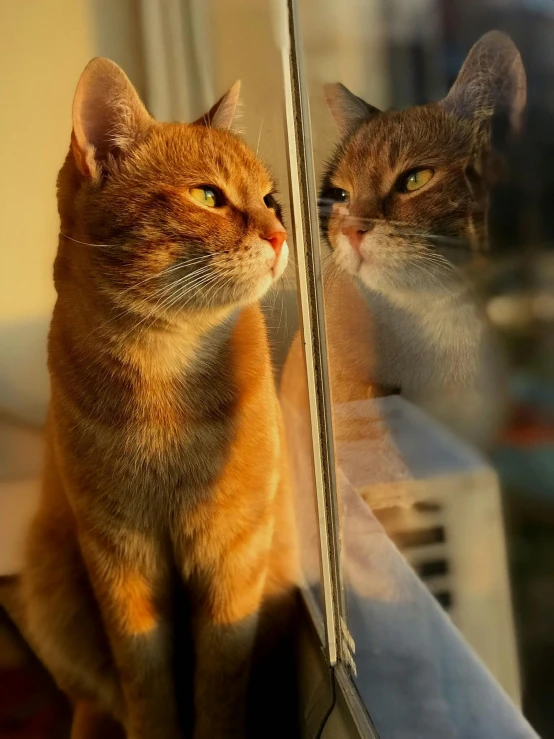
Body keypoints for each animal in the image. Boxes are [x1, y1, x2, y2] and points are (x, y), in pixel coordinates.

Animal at [19, 59, 298, 739]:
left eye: (270, 198)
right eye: (208, 196)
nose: (282, 234)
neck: (165, 377)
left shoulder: (232, 557)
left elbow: (219, 686)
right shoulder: (122, 563)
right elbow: (146, 689)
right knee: (97, 700)